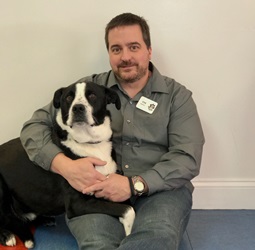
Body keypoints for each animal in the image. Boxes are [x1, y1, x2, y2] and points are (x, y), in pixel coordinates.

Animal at [0, 81, 135, 248]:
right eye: (69, 97)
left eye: (92, 95)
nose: (78, 108)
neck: (90, 143)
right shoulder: (76, 204)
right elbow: (129, 210)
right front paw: (129, 232)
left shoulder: (110, 187)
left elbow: (127, 204)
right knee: (8, 219)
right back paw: (10, 236)